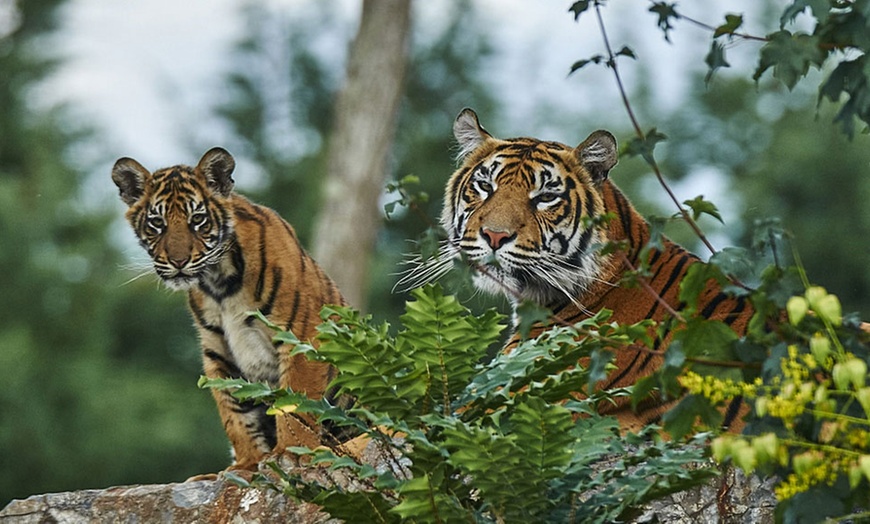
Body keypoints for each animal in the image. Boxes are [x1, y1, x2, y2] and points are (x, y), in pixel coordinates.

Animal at [112, 146, 348, 474]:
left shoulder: (300, 336)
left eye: (197, 219)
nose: (178, 262)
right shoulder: (219, 350)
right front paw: (247, 465)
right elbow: (234, 412)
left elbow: (297, 403)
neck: (219, 283)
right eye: (157, 223)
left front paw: (294, 453)